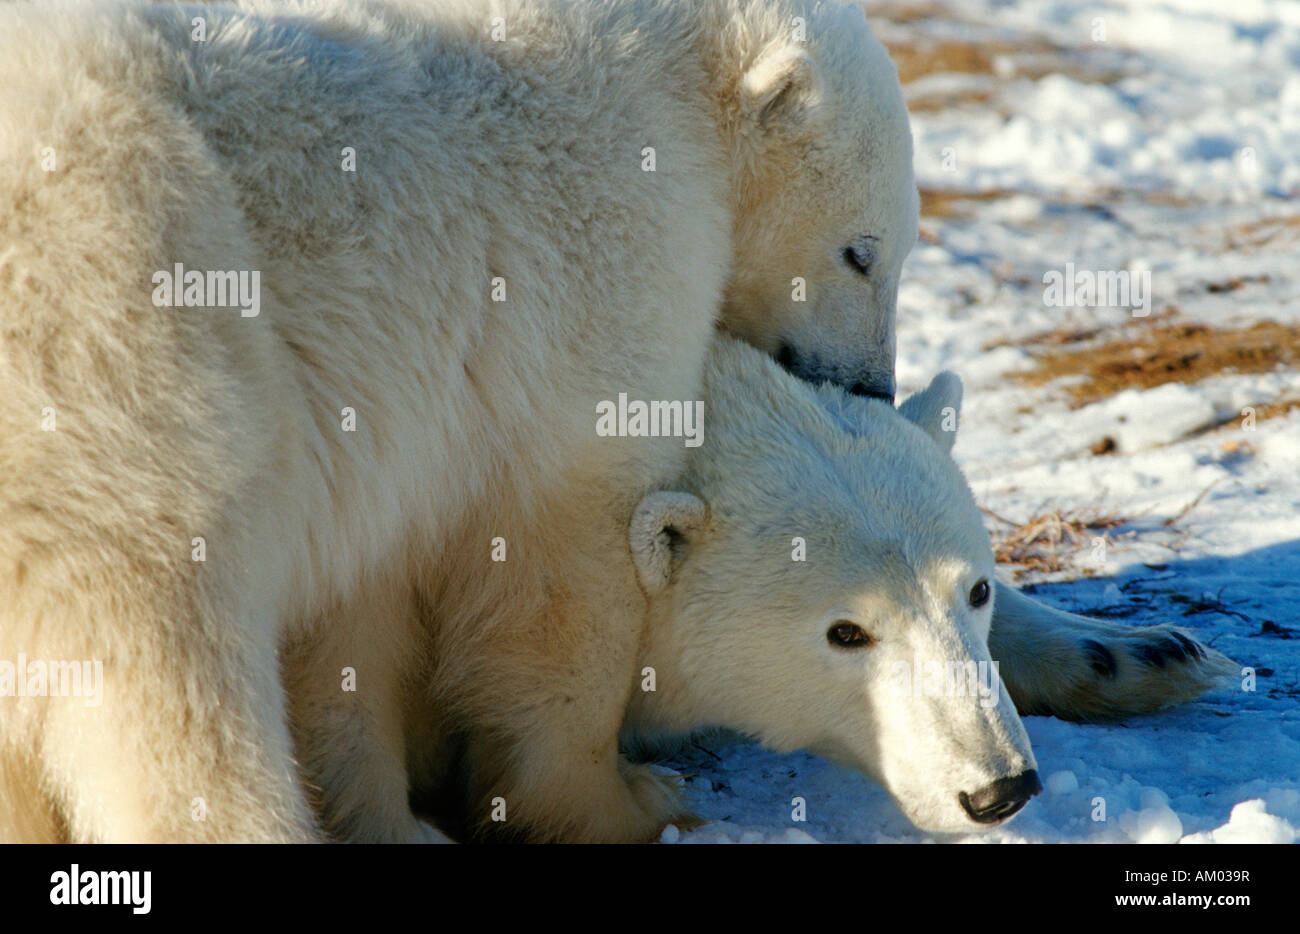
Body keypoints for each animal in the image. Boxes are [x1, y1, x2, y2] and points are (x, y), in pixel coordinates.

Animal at [0, 0, 919, 843]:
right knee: (171, 685)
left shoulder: (387, 424)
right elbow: (561, 557)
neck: (674, 74)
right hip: (136, 368)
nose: (875, 388)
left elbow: (360, 613)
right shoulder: (608, 248)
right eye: (862, 253)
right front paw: (622, 799)